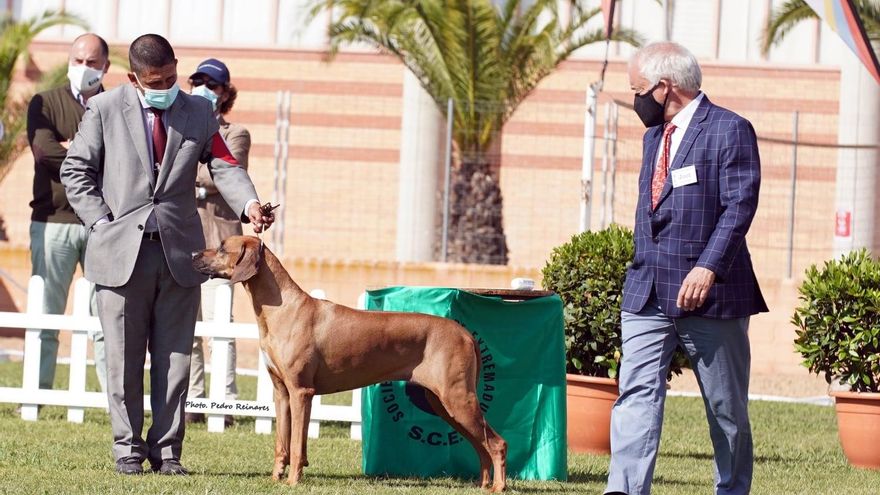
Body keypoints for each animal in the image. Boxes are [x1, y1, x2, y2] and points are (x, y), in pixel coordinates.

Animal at [192, 236, 508, 492]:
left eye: (222, 247)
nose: (193, 254)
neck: (283, 309)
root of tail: (465, 333)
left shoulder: (301, 392)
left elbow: (296, 444)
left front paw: (293, 481)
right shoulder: (282, 392)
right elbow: (282, 443)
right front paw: (276, 478)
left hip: (457, 398)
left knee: (496, 443)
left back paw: (498, 487)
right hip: (443, 403)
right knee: (480, 444)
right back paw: (483, 484)